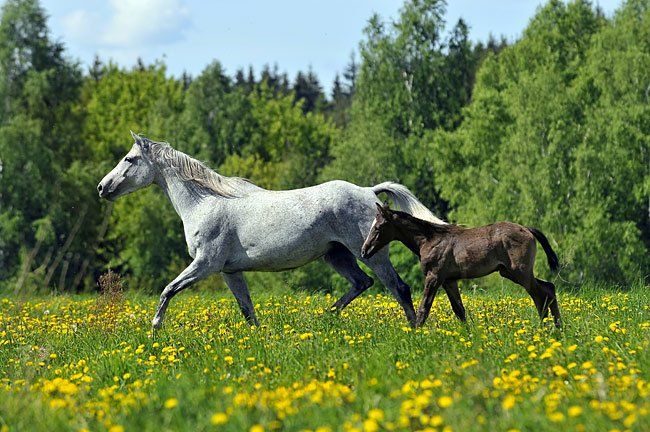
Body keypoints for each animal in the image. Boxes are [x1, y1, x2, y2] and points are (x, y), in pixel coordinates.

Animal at [96, 132, 442, 328]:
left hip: (369, 253)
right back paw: (324, 317)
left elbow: (168, 289)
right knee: (361, 283)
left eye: (129, 159)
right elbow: (247, 310)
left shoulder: (205, 264)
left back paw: (414, 329)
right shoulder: (229, 271)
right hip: (335, 255)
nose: (102, 188)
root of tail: (370, 192)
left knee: (399, 288)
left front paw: (155, 328)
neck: (205, 202)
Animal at [356, 204, 560, 330]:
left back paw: (544, 329)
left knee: (541, 295)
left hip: (520, 272)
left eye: (378, 227)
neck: (429, 240)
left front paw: (416, 335)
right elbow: (459, 310)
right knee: (549, 288)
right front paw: (467, 336)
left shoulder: (434, 277)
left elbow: (424, 308)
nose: (364, 251)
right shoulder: (449, 281)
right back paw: (558, 329)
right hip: (509, 272)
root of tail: (527, 229)